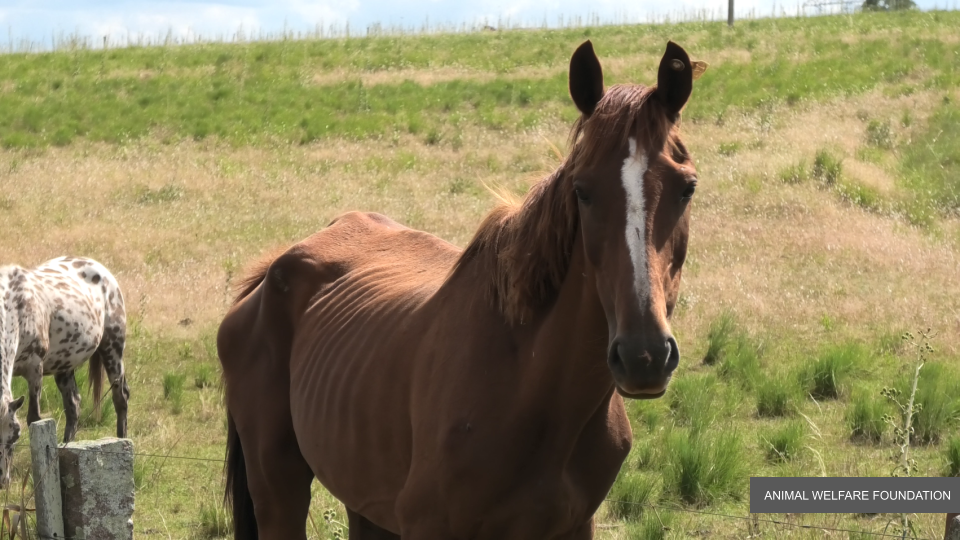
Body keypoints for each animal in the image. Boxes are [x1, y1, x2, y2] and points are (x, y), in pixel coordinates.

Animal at [0, 258, 130, 490]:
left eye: (15, 435)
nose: (2, 481)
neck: (14, 307)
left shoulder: (35, 369)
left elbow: (34, 418)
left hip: (112, 348)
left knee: (120, 398)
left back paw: (121, 441)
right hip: (64, 366)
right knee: (74, 405)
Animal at [219, 40, 704, 536]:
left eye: (687, 187)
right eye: (583, 190)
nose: (644, 356)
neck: (529, 385)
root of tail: (270, 272)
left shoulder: (575, 525)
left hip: (363, 500)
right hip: (278, 488)